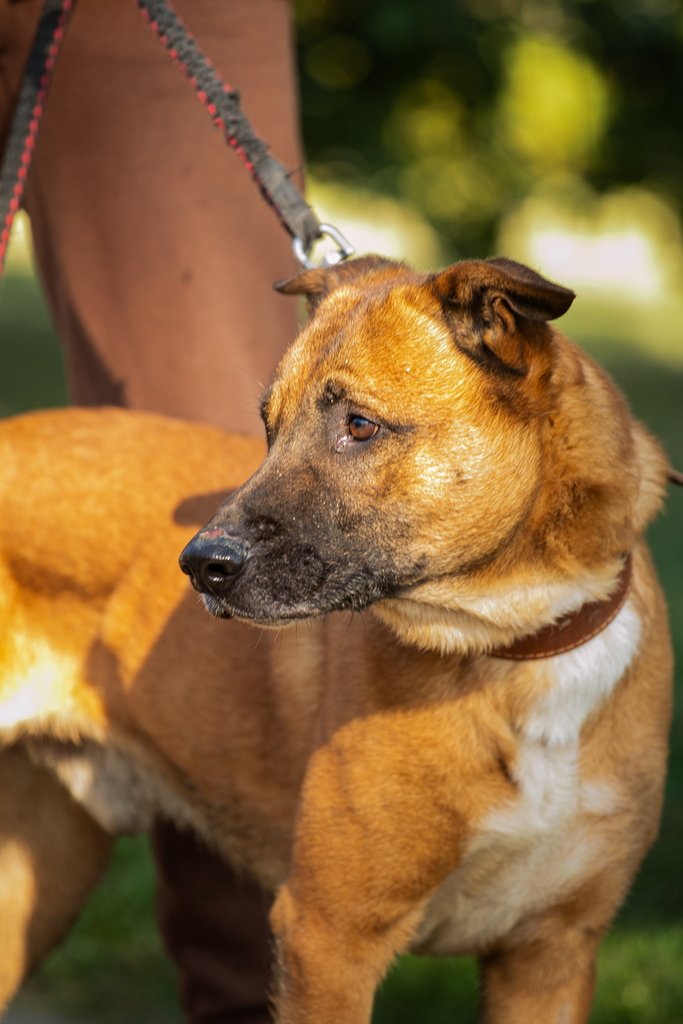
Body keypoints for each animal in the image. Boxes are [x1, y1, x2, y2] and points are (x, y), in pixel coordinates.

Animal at [0, 255, 674, 1023]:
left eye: (359, 425)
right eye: (268, 428)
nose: (199, 565)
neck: (514, 645)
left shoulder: (551, 954)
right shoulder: (328, 939)